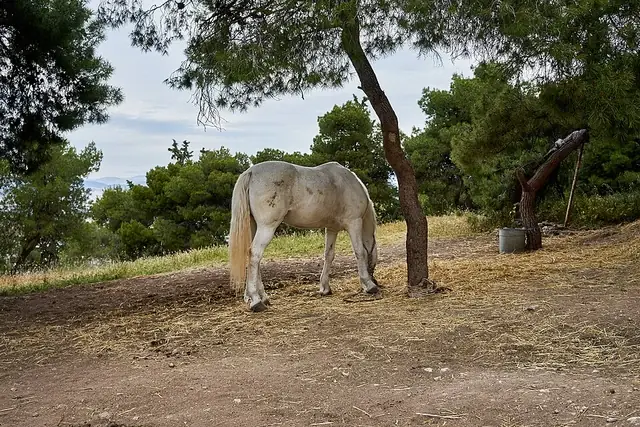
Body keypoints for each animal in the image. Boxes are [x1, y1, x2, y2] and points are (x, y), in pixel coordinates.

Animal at [228, 160, 380, 312]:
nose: (376, 281)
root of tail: (251, 172)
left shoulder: (331, 229)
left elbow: (329, 255)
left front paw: (325, 288)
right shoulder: (354, 222)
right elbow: (360, 252)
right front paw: (369, 285)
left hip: (254, 226)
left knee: (254, 259)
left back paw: (262, 297)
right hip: (267, 227)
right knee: (255, 255)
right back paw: (255, 300)